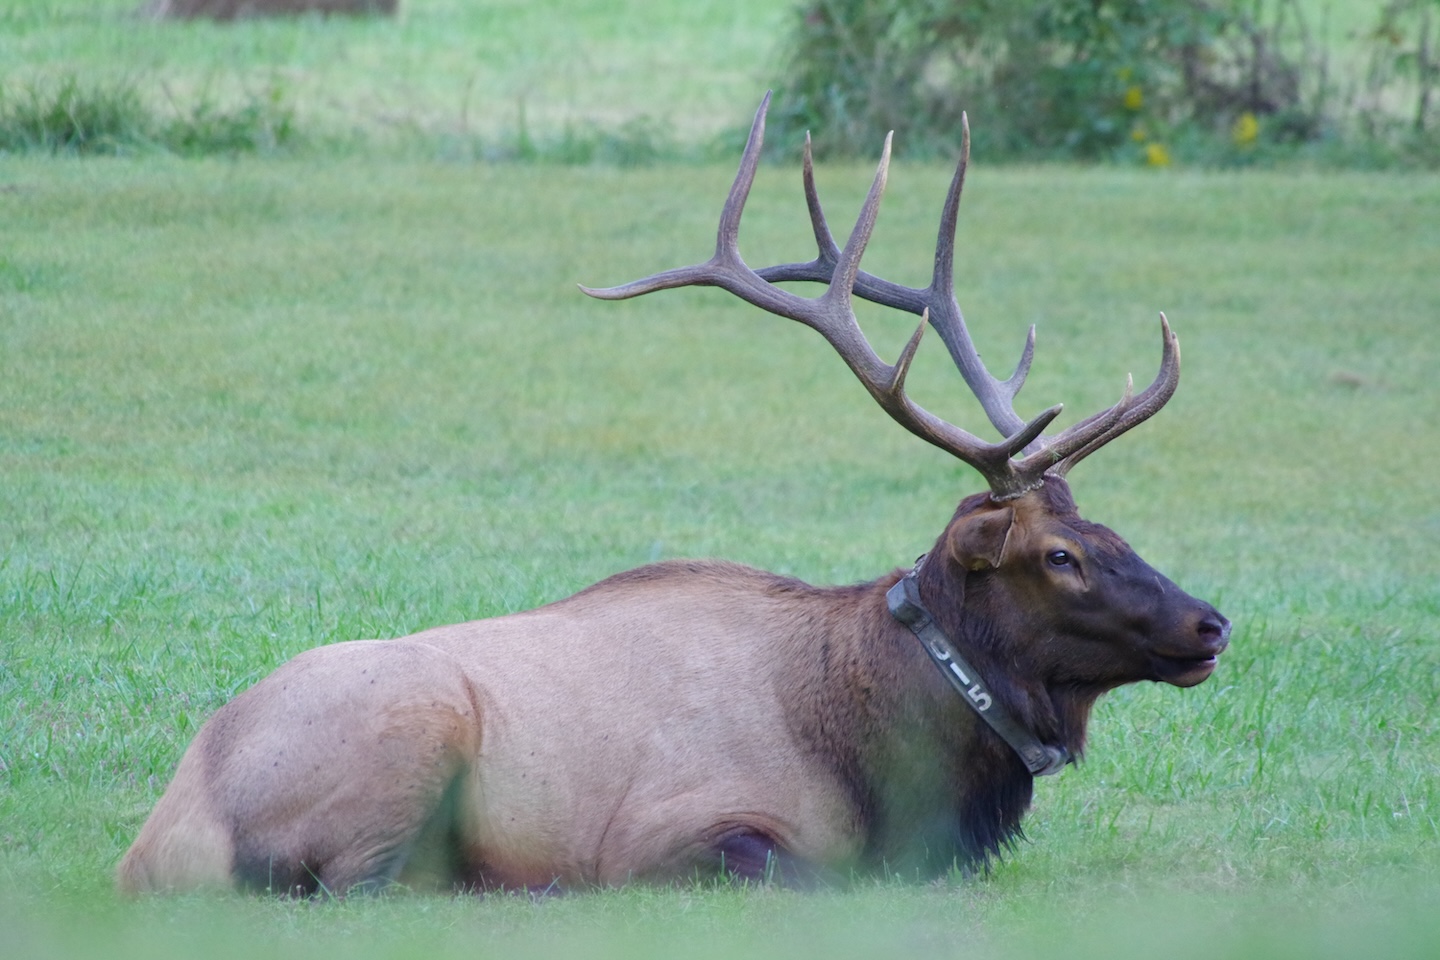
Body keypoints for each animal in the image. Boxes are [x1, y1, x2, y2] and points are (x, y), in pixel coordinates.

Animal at [116, 94, 1230, 897]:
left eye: (1112, 530)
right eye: (1060, 556)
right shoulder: (684, 829)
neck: (887, 763)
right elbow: (794, 875)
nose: (1211, 622)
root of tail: (153, 845)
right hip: (413, 731)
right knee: (365, 885)